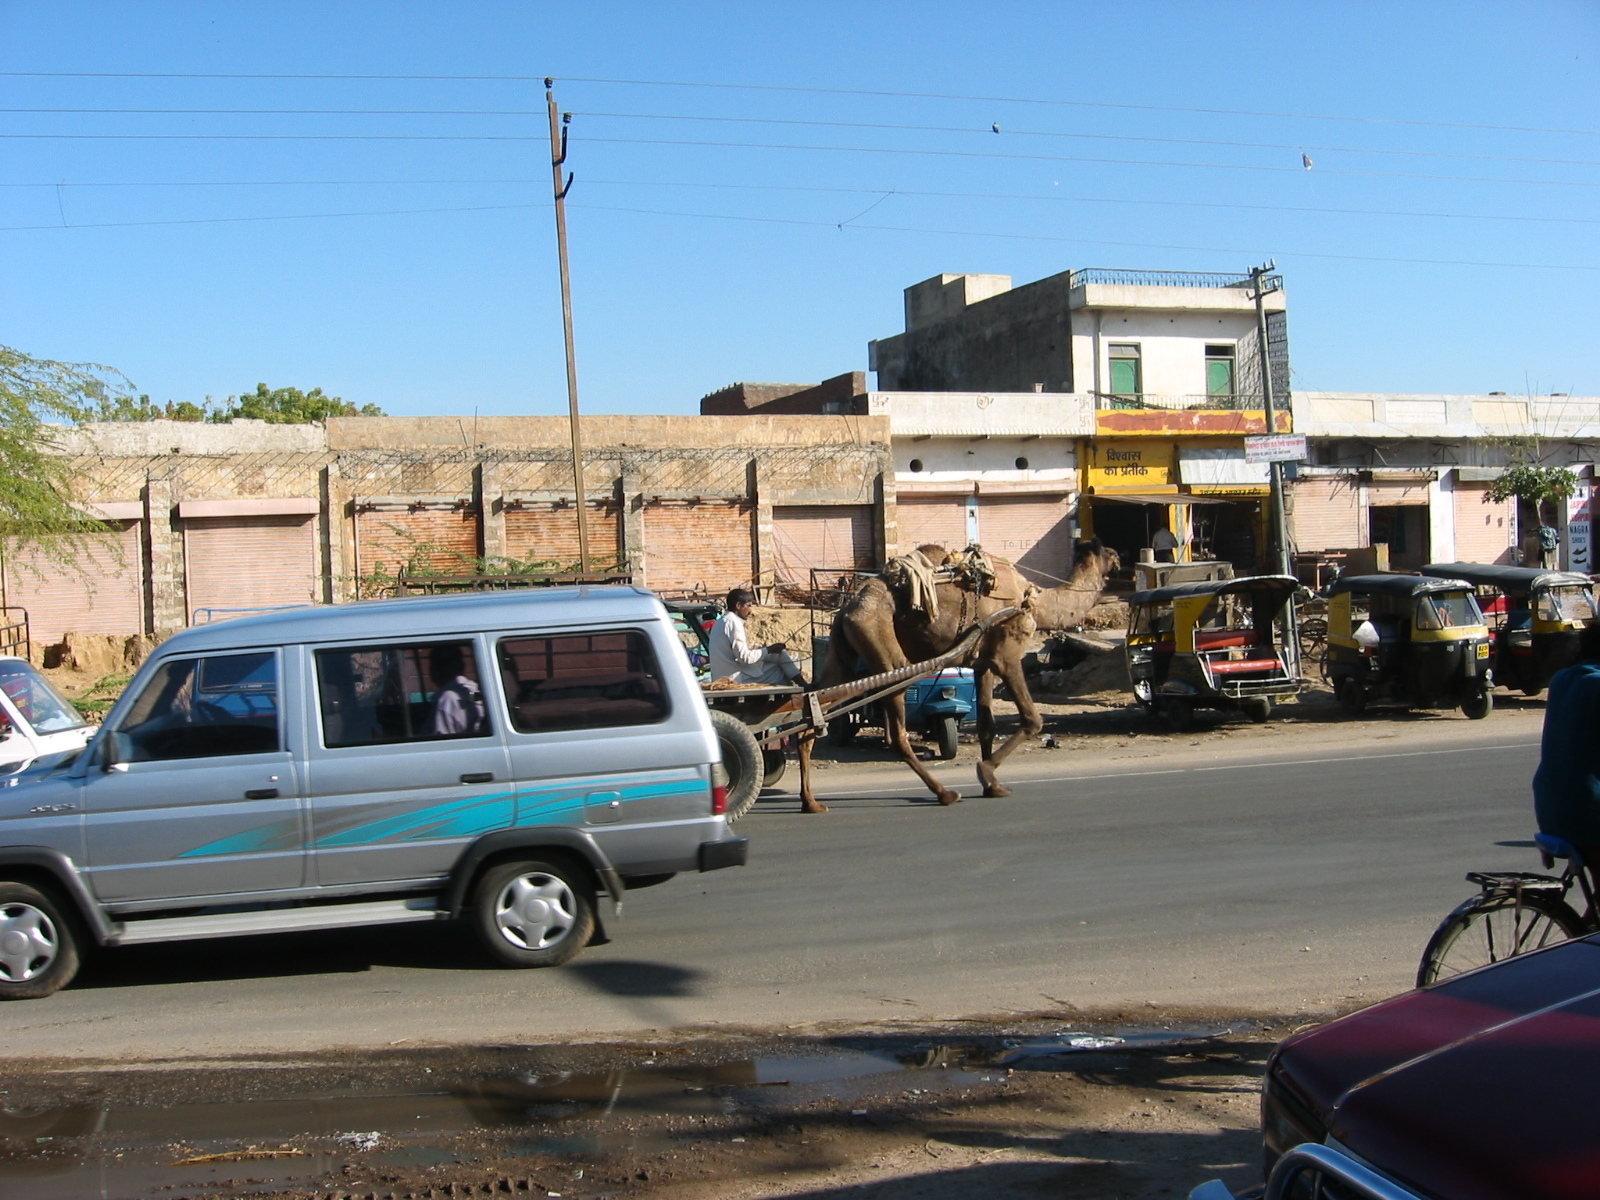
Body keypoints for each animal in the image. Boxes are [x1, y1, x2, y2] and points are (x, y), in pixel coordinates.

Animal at [793, 537, 1120, 812]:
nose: (1119, 556)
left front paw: (993, 785)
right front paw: (985, 772)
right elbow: (1032, 719)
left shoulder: (982, 663)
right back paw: (945, 793)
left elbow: (987, 724)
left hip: (843, 651)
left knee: (815, 706)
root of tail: (847, 607)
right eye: (1107, 551)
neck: (1035, 602)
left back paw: (811, 802)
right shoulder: (1007, 653)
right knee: (896, 733)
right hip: (881, 641)